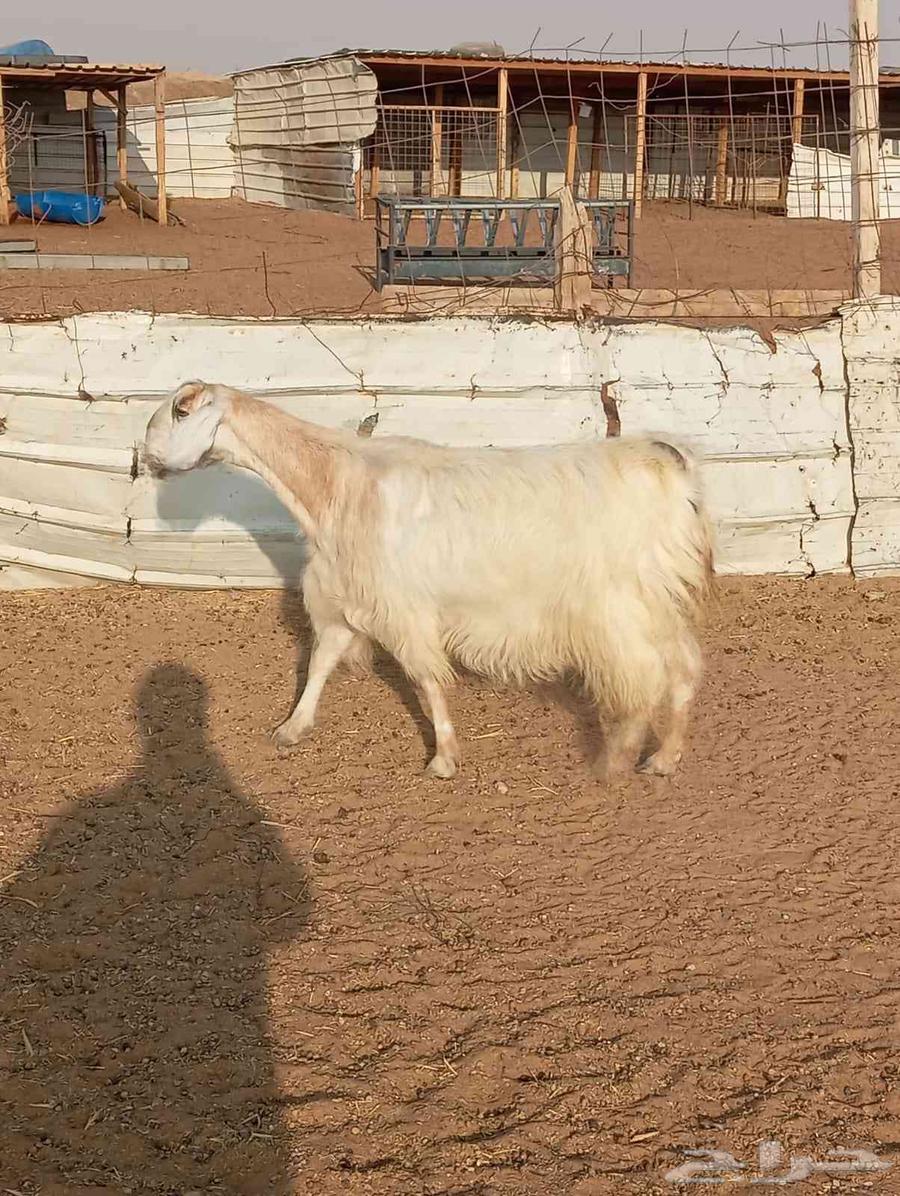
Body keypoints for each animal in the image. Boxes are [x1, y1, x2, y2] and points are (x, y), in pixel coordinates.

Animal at [144, 382, 713, 779]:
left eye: (181, 410)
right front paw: (292, 728)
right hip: (655, 601)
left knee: (644, 678)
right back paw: (664, 758)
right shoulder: (348, 598)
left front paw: (443, 758)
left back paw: (614, 761)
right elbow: (321, 661)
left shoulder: (402, 607)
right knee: (684, 670)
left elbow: (426, 680)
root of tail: (667, 462)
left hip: (618, 607)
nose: (144, 457)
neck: (337, 486)